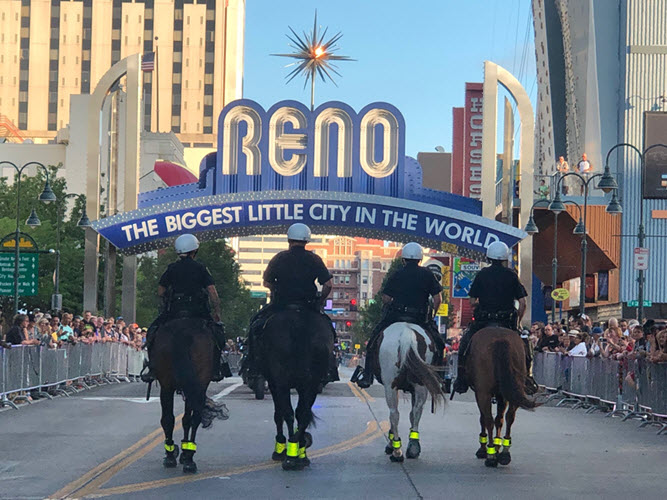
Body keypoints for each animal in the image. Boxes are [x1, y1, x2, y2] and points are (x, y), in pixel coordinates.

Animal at [151, 316, 228, 472]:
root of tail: (183, 330)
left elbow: (182, 419)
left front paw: (179, 451)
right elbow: (187, 419)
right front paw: (184, 452)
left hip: (168, 385)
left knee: (169, 419)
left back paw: (175, 455)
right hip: (197, 384)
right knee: (194, 418)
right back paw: (189, 458)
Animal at [260, 306, 334, 470]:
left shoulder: (274, 384)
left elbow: (279, 414)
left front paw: (281, 448)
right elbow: (300, 414)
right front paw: (301, 448)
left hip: (281, 381)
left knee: (288, 413)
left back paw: (290, 456)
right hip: (312, 384)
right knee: (303, 414)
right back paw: (300, 453)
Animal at [378, 322, 446, 462]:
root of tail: (407, 334)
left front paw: (390, 445)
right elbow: (411, 414)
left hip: (390, 386)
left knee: (394, 414)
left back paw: (397, 451)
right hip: (420, 385)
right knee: (416, 411)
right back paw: (413, 448)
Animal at [468, 326, 540, 466]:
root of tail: (500, 339)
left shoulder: (480, 393)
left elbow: (485, 418)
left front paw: (485, 449)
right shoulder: (503, 395)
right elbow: (499, 419)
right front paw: (497, 447)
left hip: (483, 392)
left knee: (488, 419)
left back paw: (490, 455)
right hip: (514, 390)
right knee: (510, 417)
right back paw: (505, 453)